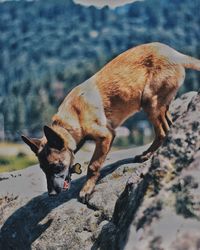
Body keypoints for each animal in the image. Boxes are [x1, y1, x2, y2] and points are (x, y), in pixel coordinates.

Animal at [21, 42, 200, 203]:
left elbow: (93, 166)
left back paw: (148, 154)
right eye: (43, 169)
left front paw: (87, 189)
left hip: (149, 101)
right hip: (160, 104)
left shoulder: (105, 136)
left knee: (162, 132)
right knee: (169, 125)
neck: (72, 118)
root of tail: (175, 54)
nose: (51, 194)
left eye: (56, 167)